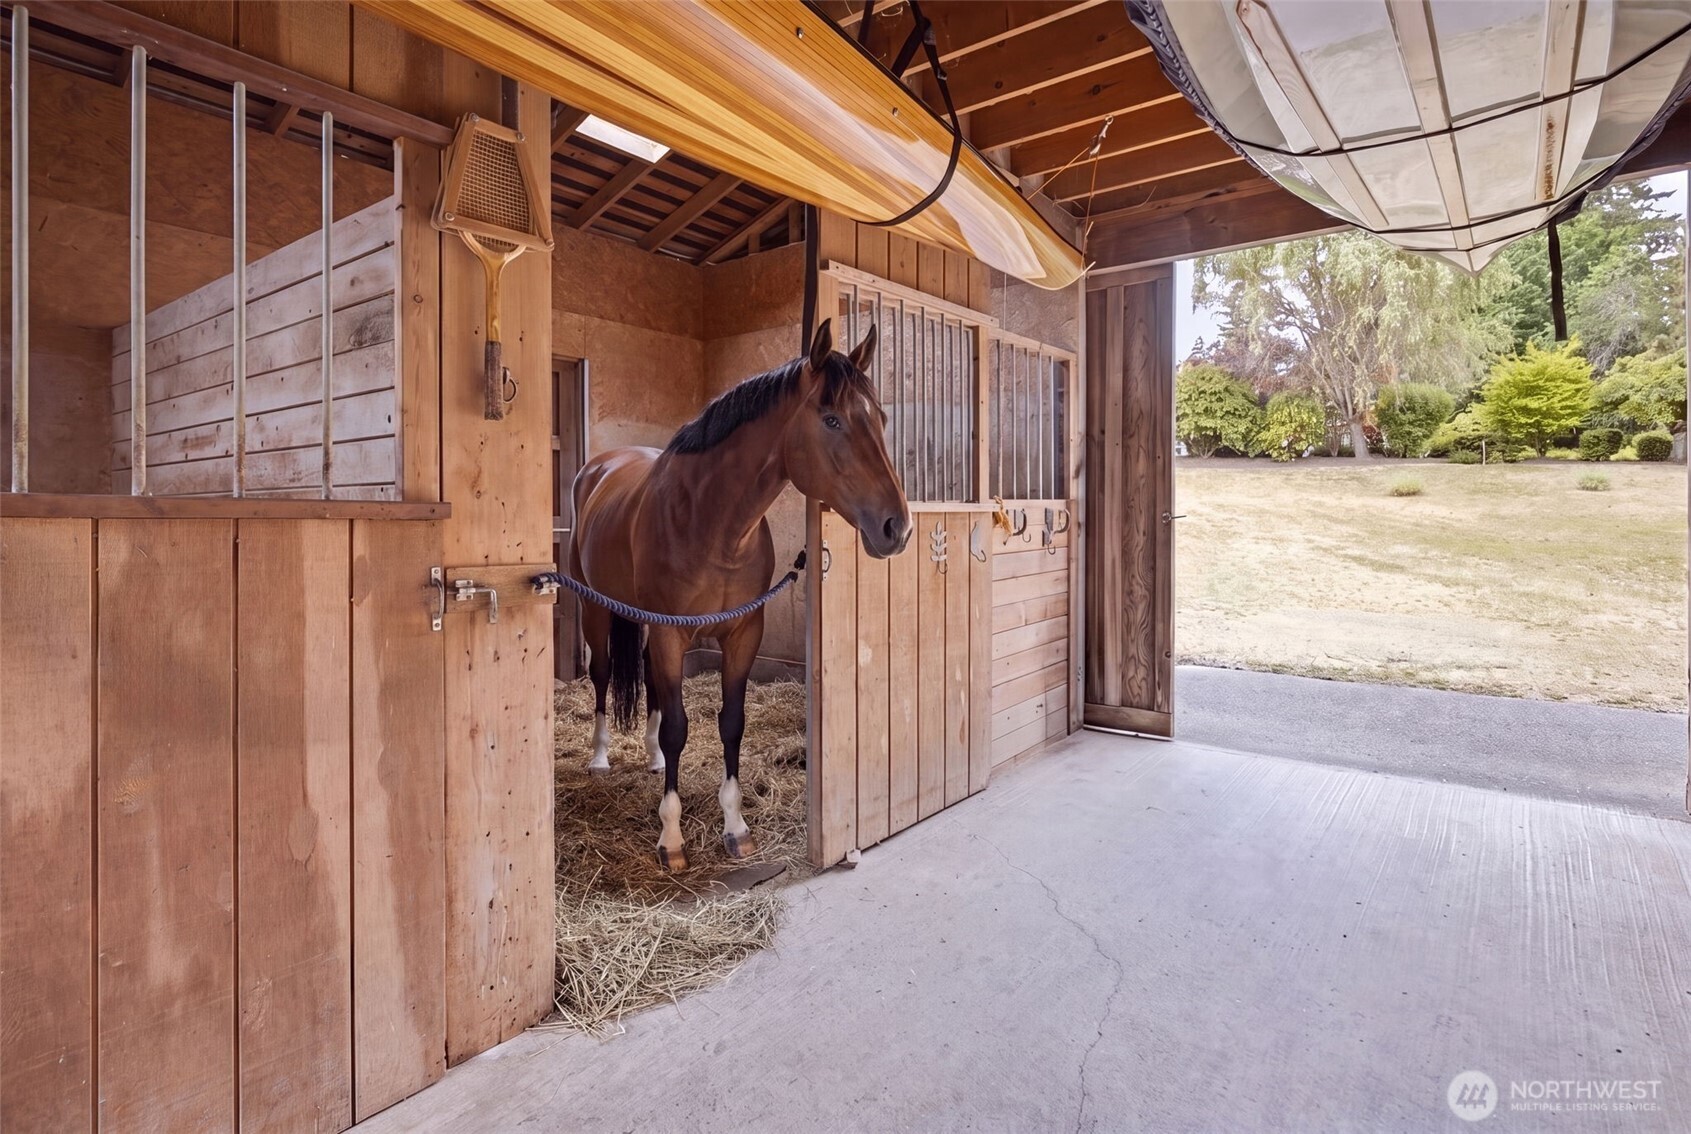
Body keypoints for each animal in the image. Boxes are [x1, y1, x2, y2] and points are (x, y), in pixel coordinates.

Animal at [569, 319, 911, 871]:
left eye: (879, 418)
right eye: (832, 420)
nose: (897, 527)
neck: (711, 522)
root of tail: (598, 467)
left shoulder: (744, 633)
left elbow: (731, 723)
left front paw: (735, 828)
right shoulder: (671, 635)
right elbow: (680, 727)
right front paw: (672, 839)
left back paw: (651, 758)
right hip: (594, 608)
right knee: (602, 675)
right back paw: (601, 757)